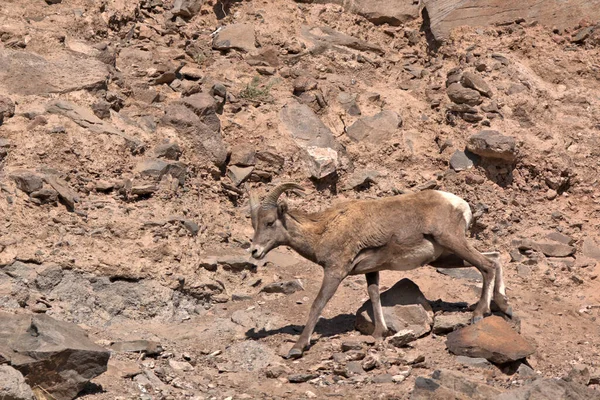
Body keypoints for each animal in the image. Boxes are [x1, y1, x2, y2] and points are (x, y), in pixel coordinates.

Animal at [247, 184, 510, 360]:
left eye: (270, 222)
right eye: (255, 223)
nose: (255, 251)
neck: (324, 230)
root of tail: (459, 204)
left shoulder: (335, 271)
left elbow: (317, 304)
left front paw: (297, 347)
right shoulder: (371, 272)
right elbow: (374, 296)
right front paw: (379, 334)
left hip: (452, 243)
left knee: (486, 266)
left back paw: (480, 314)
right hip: (446, 256)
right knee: (495, 258)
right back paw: (504, 306)